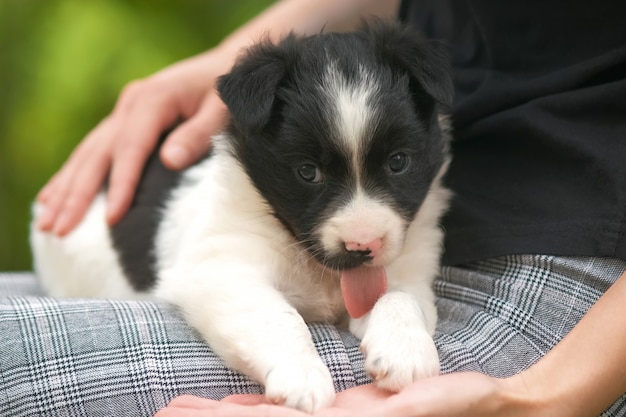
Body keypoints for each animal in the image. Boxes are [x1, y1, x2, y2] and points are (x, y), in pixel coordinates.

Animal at [31, 23, 450, 412]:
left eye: (398, 162)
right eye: (308, 172)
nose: (363, 246)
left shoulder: (406, 271)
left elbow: (398, 297)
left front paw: (405, 352)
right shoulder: (220, 268)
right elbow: (277, 315)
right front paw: (302, 377)